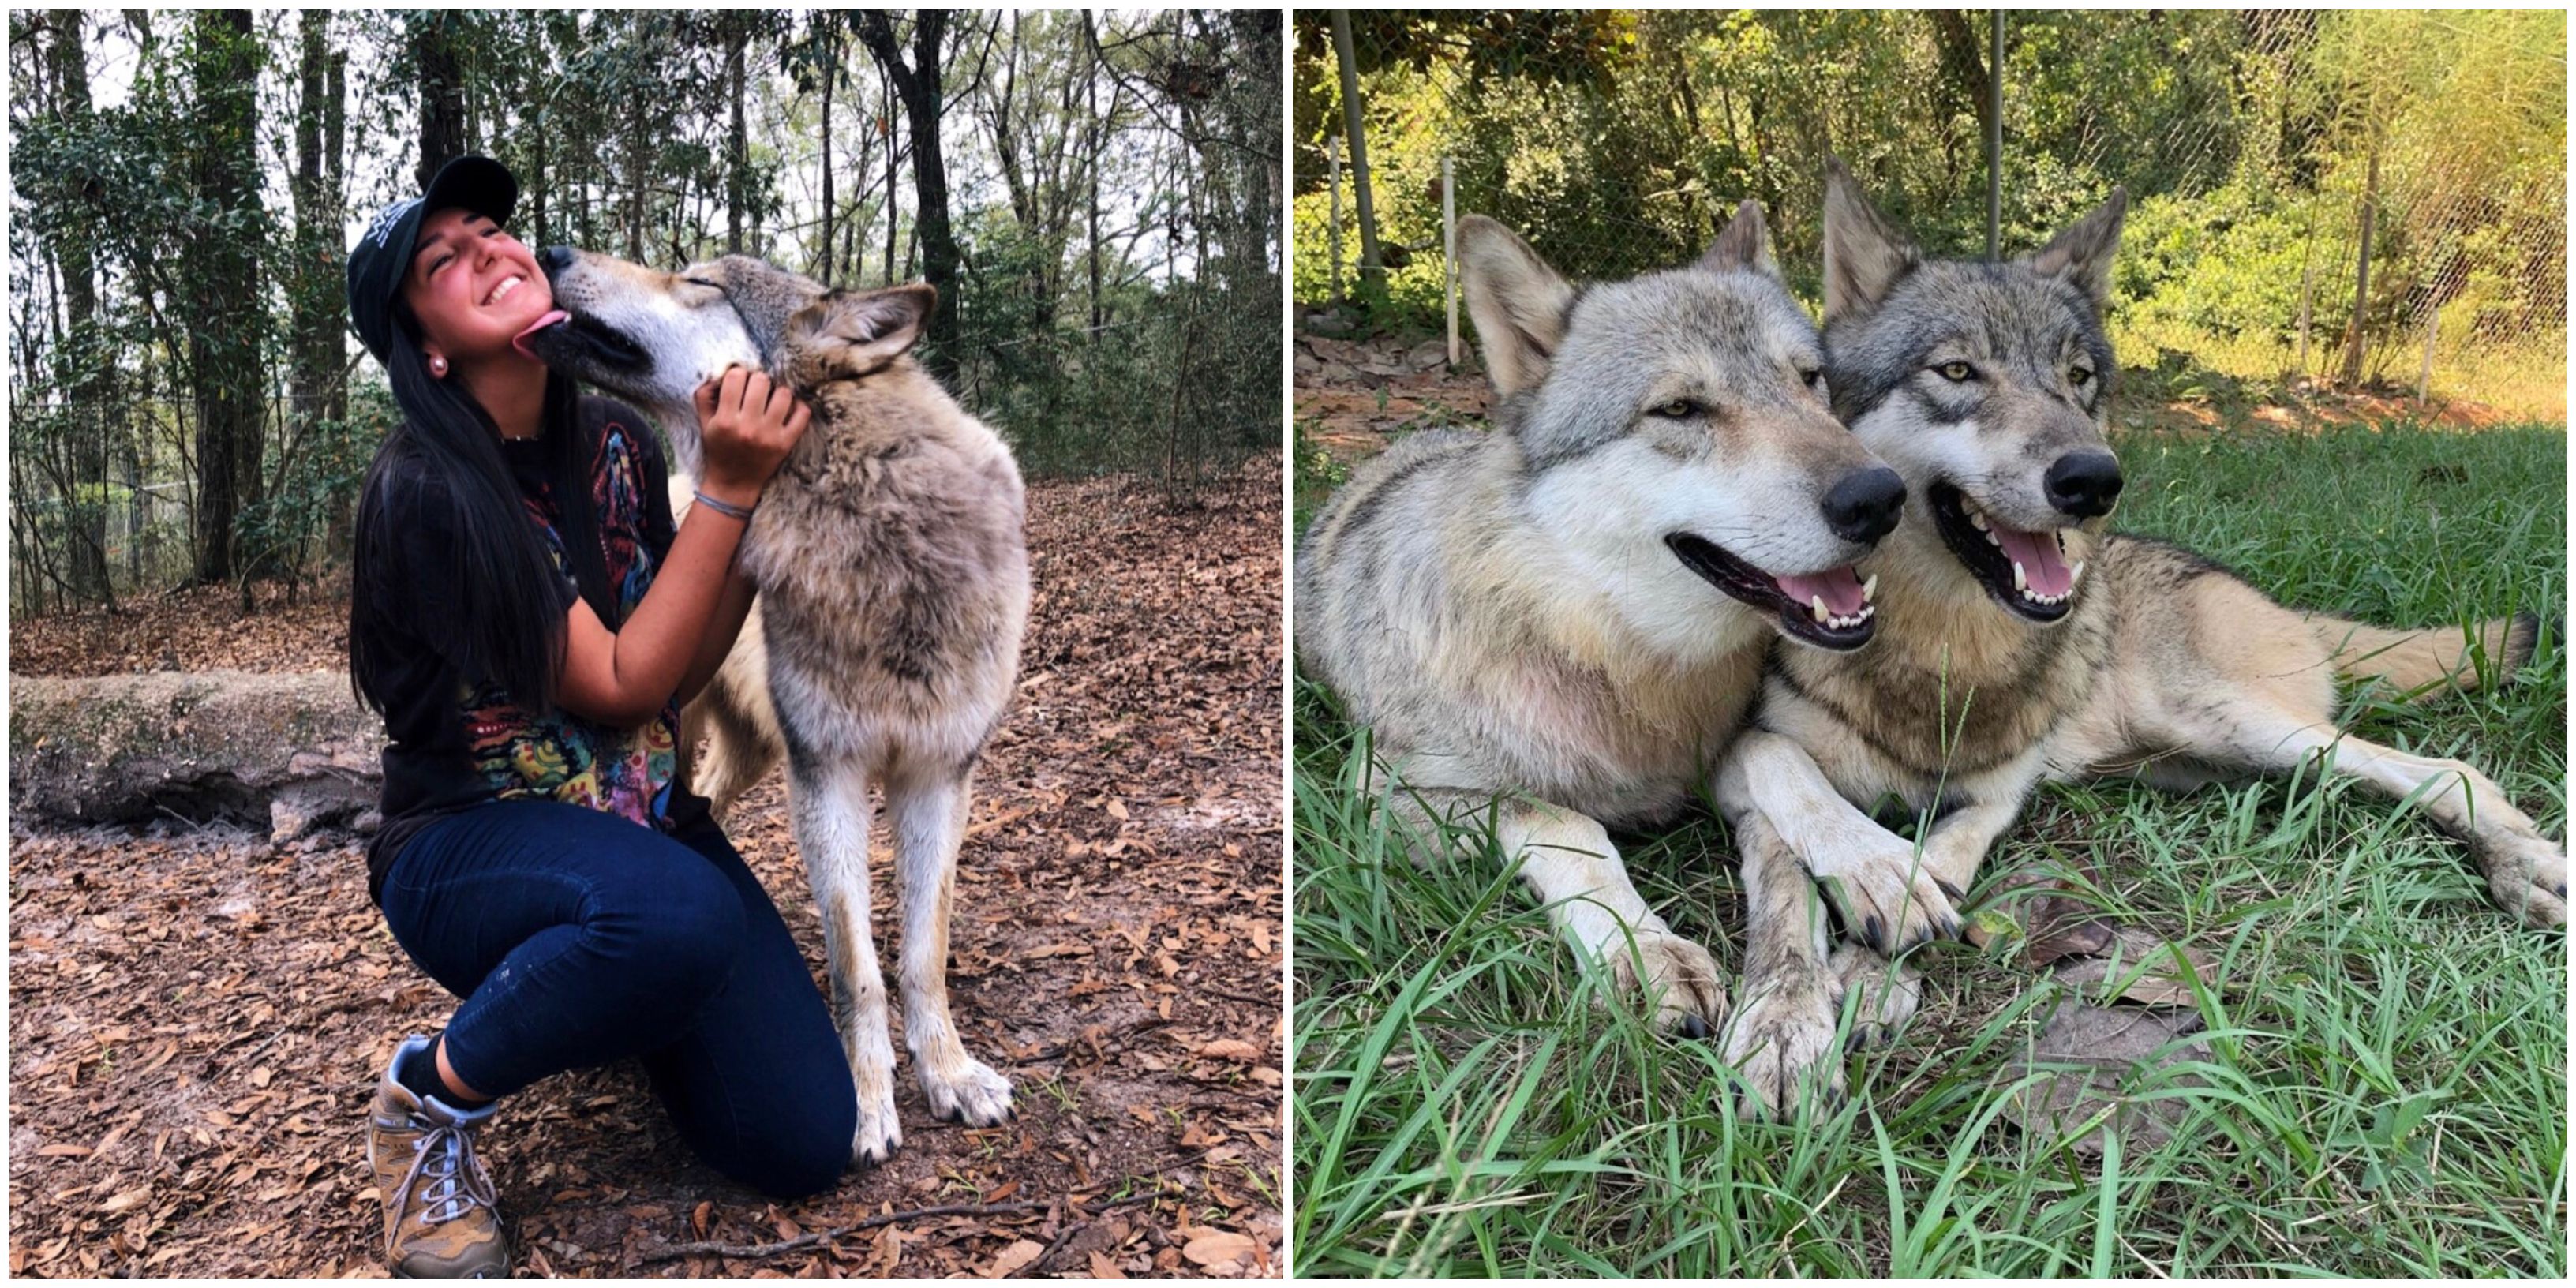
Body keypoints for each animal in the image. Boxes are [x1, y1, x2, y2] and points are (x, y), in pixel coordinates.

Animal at [527, 250, 1030, 1166]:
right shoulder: (826, 775)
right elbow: (857, 968)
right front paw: (866, 1101)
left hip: (752, 756)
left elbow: (924, 953)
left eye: (698, 282)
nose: (552, 254)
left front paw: (949, 1072)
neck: (870, 526)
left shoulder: (941, 774)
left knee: (699, 805)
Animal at [1296, 201, 1938, 1036]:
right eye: (1680, 409)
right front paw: (1647, 951)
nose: (1880, 497)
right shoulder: (1384, 803)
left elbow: (1782, 757)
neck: (1618, 657)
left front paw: (1877, 861)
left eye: (1808, 380)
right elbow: (1566, 823)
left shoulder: (1710, 754)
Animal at [1712, 160, 2564, 1112]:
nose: (2092, 478)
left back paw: (2528, 870)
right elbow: (1790, 889)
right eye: (1959, 370)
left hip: (2240, 726)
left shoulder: (2003, 789)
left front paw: (1876, 959)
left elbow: (1943, 856)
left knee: (2448, 770)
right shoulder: (1752, 766)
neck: (1943, 650)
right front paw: (1788, 1021)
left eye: (2079, 377)